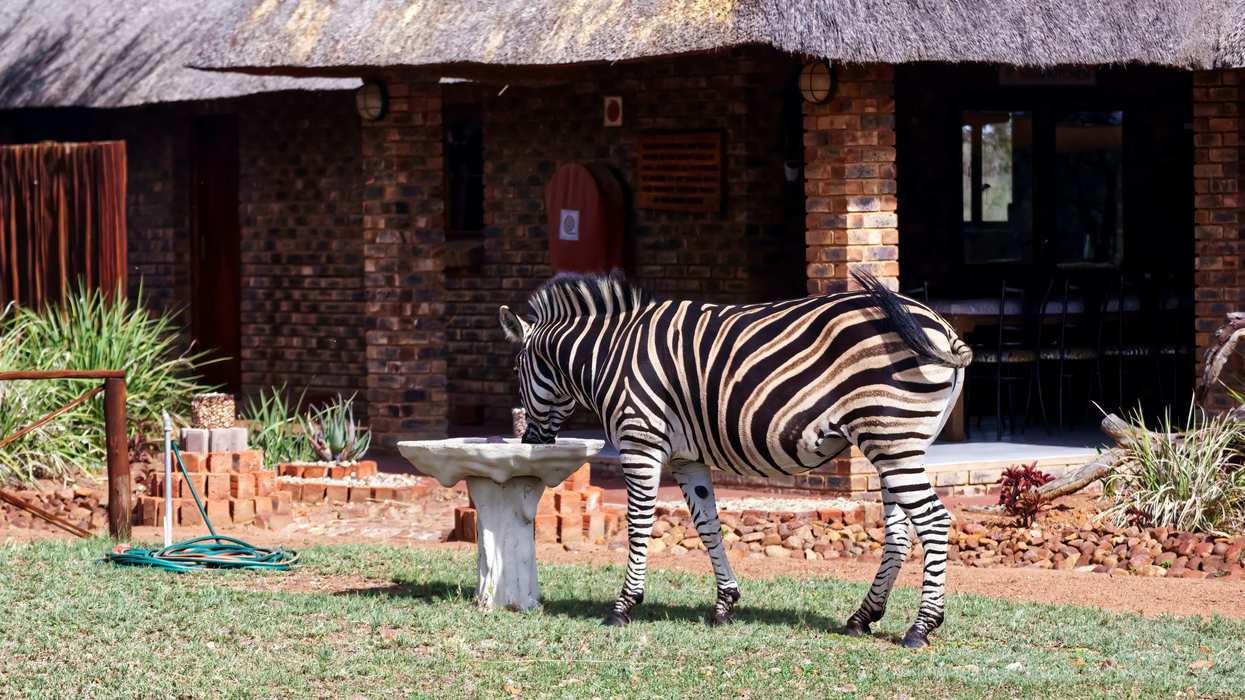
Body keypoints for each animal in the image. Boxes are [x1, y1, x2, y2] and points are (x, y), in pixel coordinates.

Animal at [498, 270, 972, 648]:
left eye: (517, 372)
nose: (529, 440)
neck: (610, 355)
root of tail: (942, 329)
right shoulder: (687, 457)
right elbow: (708, 525)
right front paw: (725, 604)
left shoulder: (641, 441)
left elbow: (638, 525)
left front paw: (623, 606)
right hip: (897, 443)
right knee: (900, 532)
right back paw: (862, 617)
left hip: (891, 437)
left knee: (933, 521)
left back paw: (921, 628)